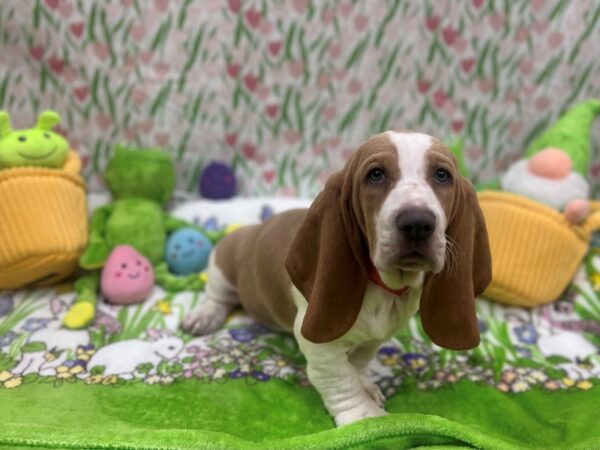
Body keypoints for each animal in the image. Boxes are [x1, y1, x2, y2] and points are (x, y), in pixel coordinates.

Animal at [183, 129, 492, 426]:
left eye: (442, 175)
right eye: (375, 175)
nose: (417, 223)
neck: (384, 287)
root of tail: (253, 229)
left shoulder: (371, 342)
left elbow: (357, 366)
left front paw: (366, 386)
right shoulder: (319, 345)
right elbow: (341, 379)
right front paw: (365, 417)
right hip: (222, 265)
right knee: (217, 297)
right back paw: (204, 316)